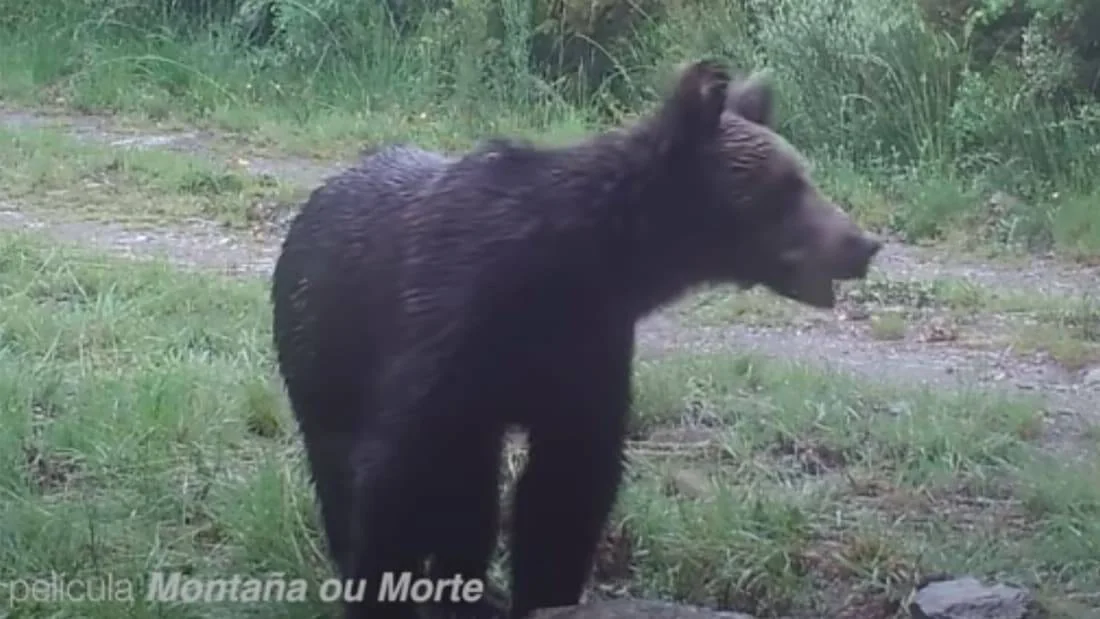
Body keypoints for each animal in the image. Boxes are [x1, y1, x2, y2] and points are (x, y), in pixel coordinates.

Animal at [270, 59, 882, 619]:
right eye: (785, 188)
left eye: (804, 177)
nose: (863, 243)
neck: (580, 265)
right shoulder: (444, 334)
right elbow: (394, 476)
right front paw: (383, 590)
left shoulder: (586, 345)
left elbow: (566, 489)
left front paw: (540, 593)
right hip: (320, 358)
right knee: (345, 465)